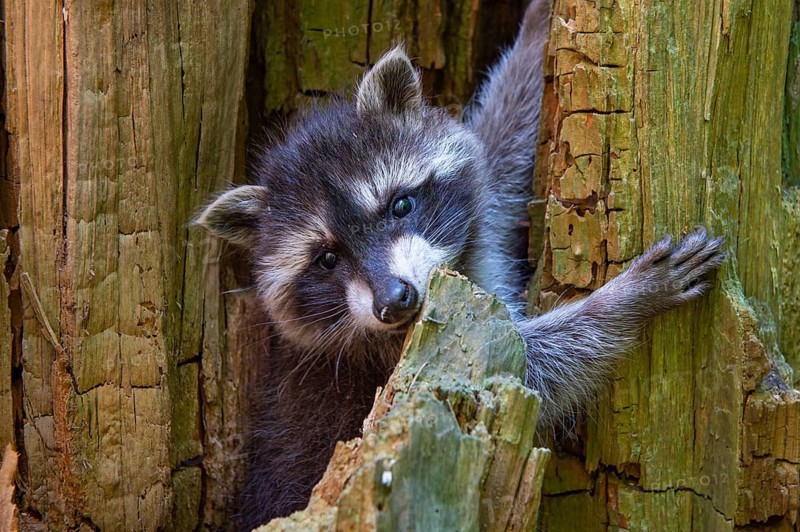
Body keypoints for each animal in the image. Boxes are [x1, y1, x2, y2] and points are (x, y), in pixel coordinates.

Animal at [196, 0, 725, 527]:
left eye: (401, 205)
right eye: (327, 258)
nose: (394, 301)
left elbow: (496, 148)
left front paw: (534, 38)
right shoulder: (402, 363)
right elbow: (533, 366)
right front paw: (626, 300)